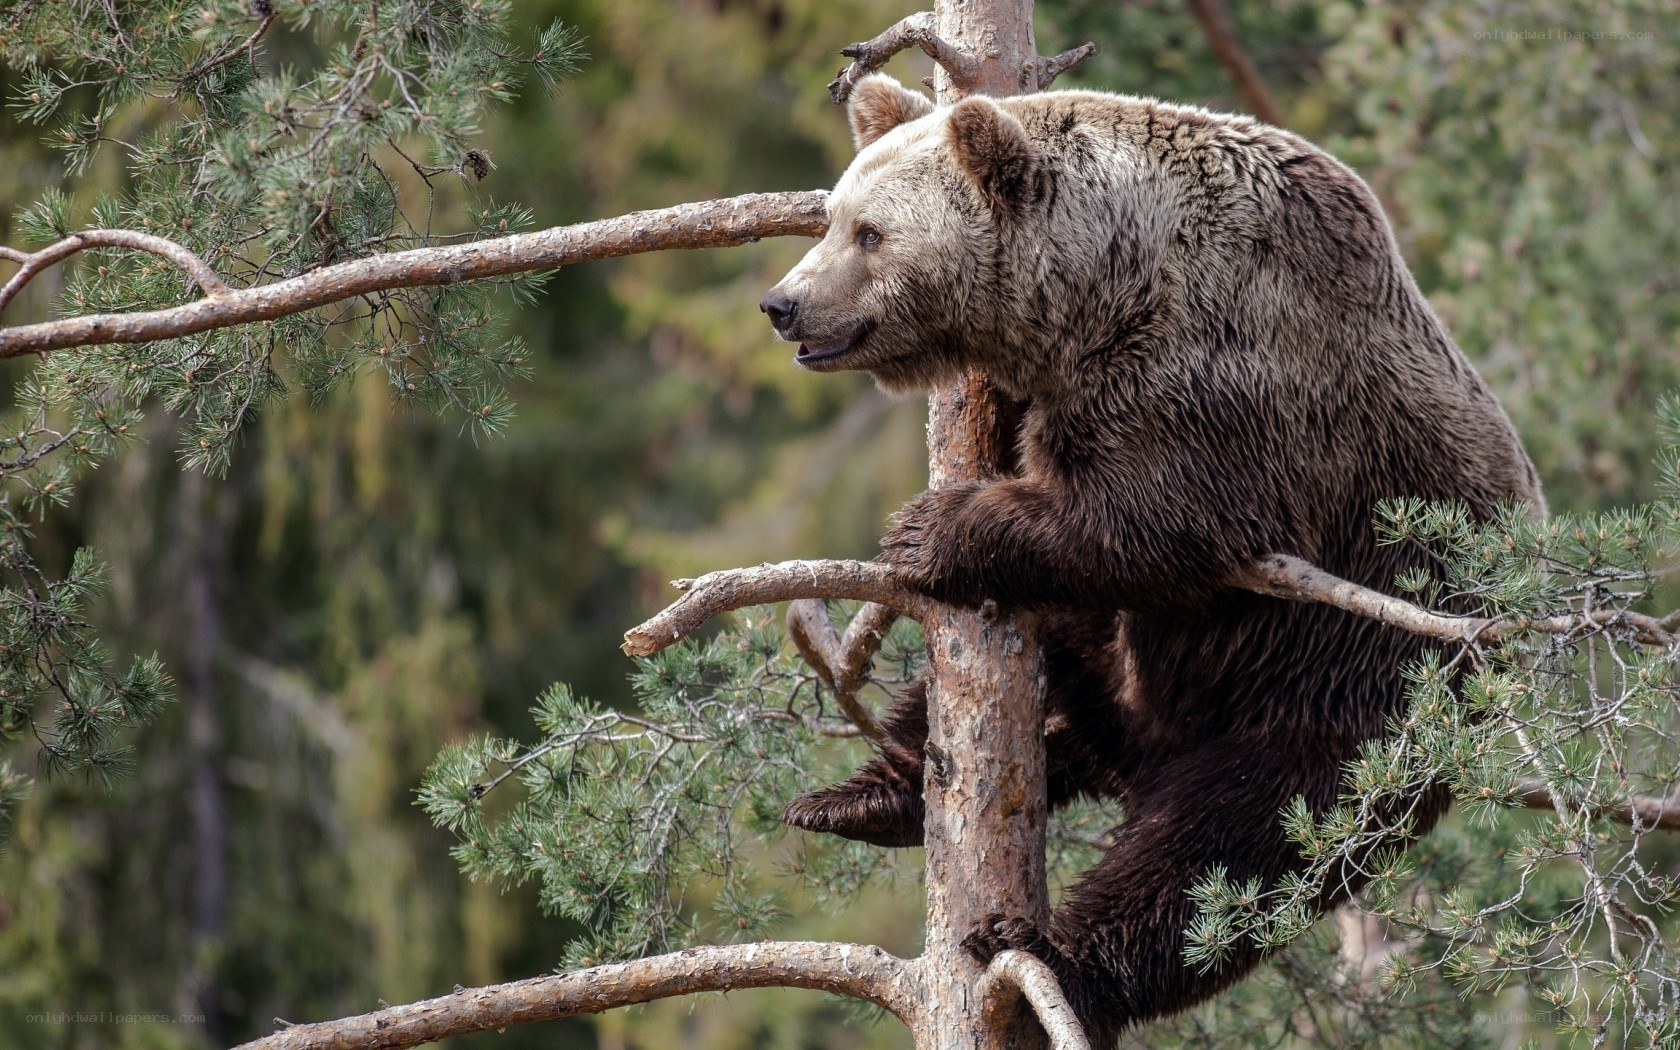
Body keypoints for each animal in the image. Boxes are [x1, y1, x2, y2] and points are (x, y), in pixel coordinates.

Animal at [758, 74, 1542, 1042]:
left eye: (870, 233)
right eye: (832, 217)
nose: (783, 303)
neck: (1106, 287)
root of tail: (1139, 754)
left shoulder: (1224, 379)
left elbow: (1156, 521)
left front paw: (929, 527)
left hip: (1354, 689)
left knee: (1224, 855)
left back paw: (1050, 955)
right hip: (1135, 662)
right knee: (1030, 680)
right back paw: (864, 797)